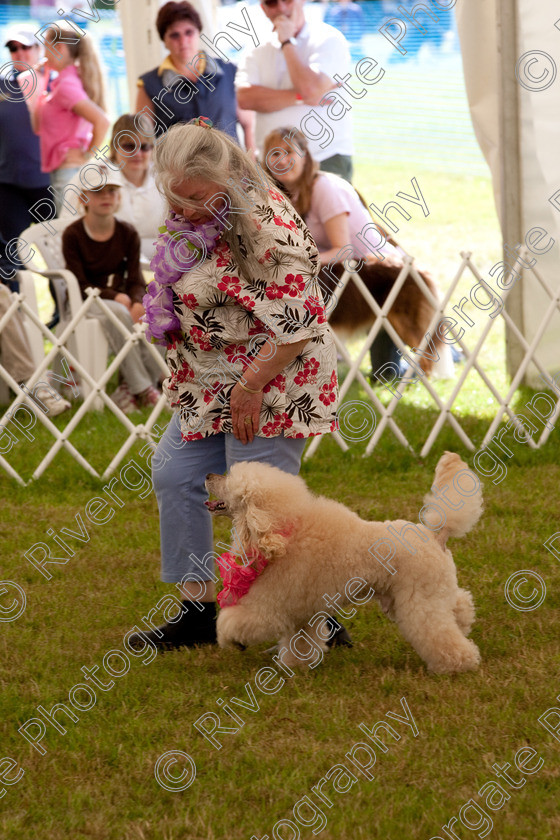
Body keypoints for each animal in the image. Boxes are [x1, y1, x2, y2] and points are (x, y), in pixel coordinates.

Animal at [205, 452, 482, 676]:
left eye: (229, 482)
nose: (207, 475)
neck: (282, 534)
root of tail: (435, 535)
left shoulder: (270, 608)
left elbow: (236, 621)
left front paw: (227, 637)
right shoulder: (302, 612)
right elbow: (301, 640)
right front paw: (296, 667)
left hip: (419, 601)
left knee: (438, 633)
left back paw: (457, 665)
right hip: (422, 593)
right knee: (459, 603)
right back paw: (464, 623)